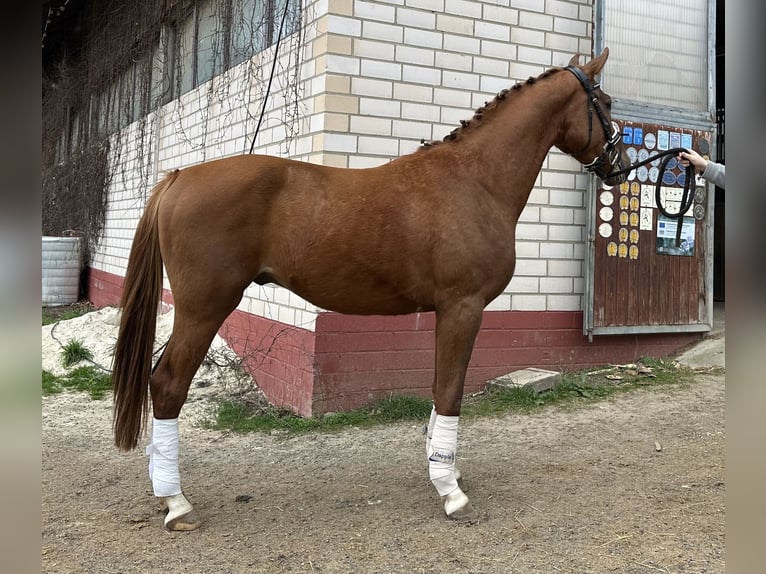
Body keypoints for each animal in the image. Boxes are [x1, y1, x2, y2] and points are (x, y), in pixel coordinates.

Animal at [112, 48, 632, 532]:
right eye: (605, 102)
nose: (622, 166)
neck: (474, 179)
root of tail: (179, 178)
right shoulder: (463, 308)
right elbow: (450, 392)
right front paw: (451, 491)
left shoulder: (446, 312)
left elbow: (439, 389)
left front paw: (440, 471)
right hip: (204, 308)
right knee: (167, 384)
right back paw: (177, 503)